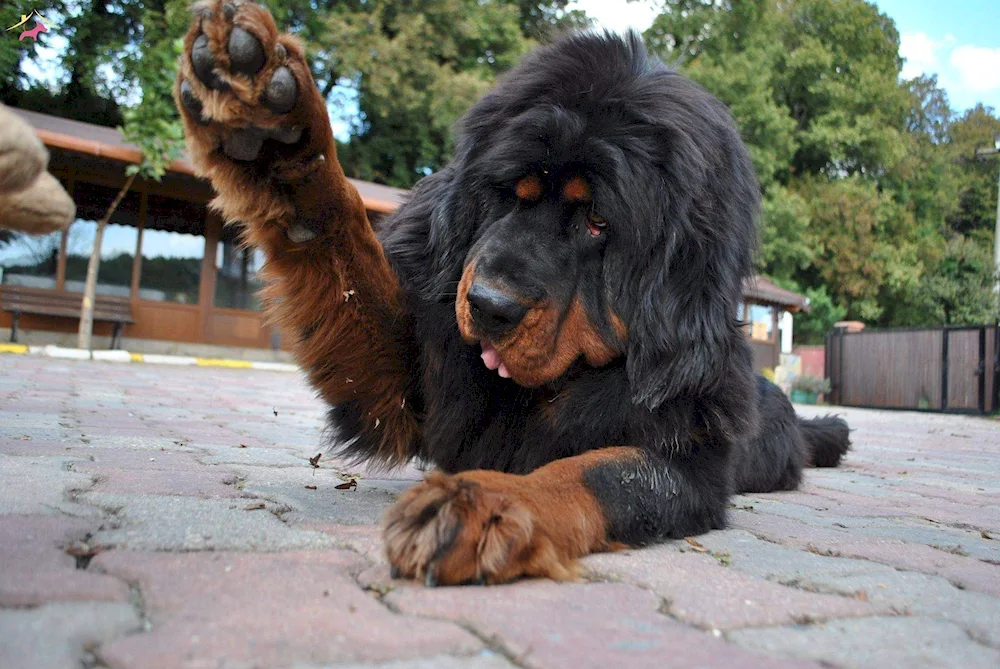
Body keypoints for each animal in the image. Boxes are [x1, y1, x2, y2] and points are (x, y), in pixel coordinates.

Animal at [176, 2, 848, 580]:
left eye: (597, 222)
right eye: (508, 194)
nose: (489, 306)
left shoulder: (688, 462)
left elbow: (590, 473)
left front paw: (485, 505)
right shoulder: (406, 383)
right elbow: (345, 257)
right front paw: (272, 136)